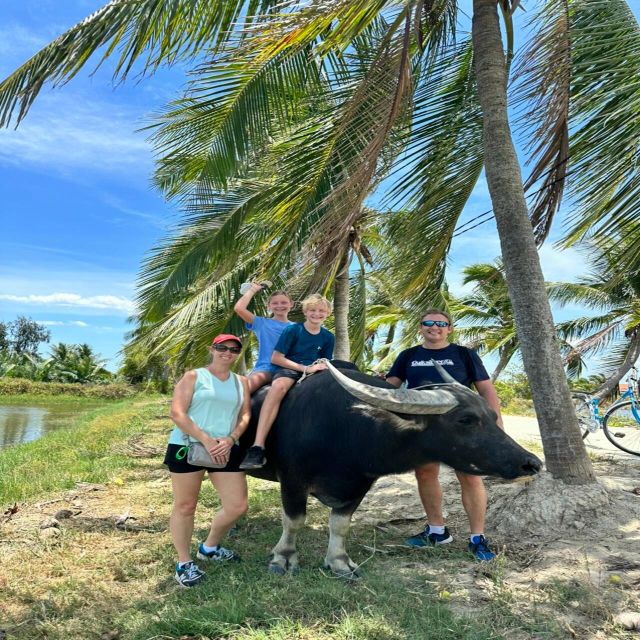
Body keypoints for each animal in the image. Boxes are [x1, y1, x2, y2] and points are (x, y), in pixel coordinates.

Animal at [242, 360, 544, 576]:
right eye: (466, 419)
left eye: (492, 416)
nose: (531, 462)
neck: (347, 426)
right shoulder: (292, 480)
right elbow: (293, 521)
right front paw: (283, 559)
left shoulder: (361, 484)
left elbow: (340, 524)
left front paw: (339, 562)